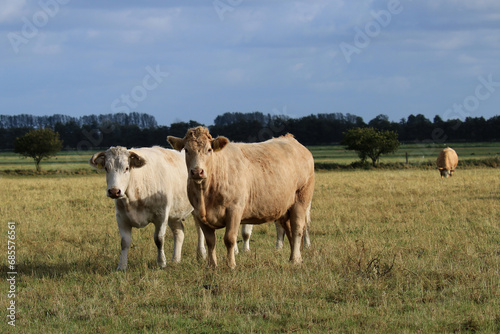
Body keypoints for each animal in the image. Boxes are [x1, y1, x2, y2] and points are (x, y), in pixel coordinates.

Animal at [169, 126, 316, 268]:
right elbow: (210, 241)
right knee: (289, 229)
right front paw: (211, 266)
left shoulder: (234, 209)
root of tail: (291, 139)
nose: (197, 171)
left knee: (297, 229)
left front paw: (231, 265)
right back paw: (294, 258)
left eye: (209, 149)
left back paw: (295, 260)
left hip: (301, 199)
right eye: (186, 150)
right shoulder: (200, 214)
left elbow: (229, 239)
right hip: (285, 208)